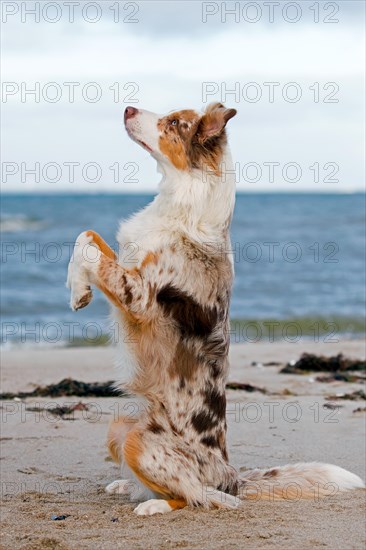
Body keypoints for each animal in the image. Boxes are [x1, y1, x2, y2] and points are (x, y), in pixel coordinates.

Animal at [67, 100, 364, 516]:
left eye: (174, 122)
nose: (127, 108)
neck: (185, 201)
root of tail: (233, 476)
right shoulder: (127, 260)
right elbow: (86, 236)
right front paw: (77, 290)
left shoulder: (138, 295)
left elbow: (91, 248)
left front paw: (79, 286)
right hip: (119, 425)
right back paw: (127, 486)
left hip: (142, 442)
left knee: (198, 495)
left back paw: (155, 505)